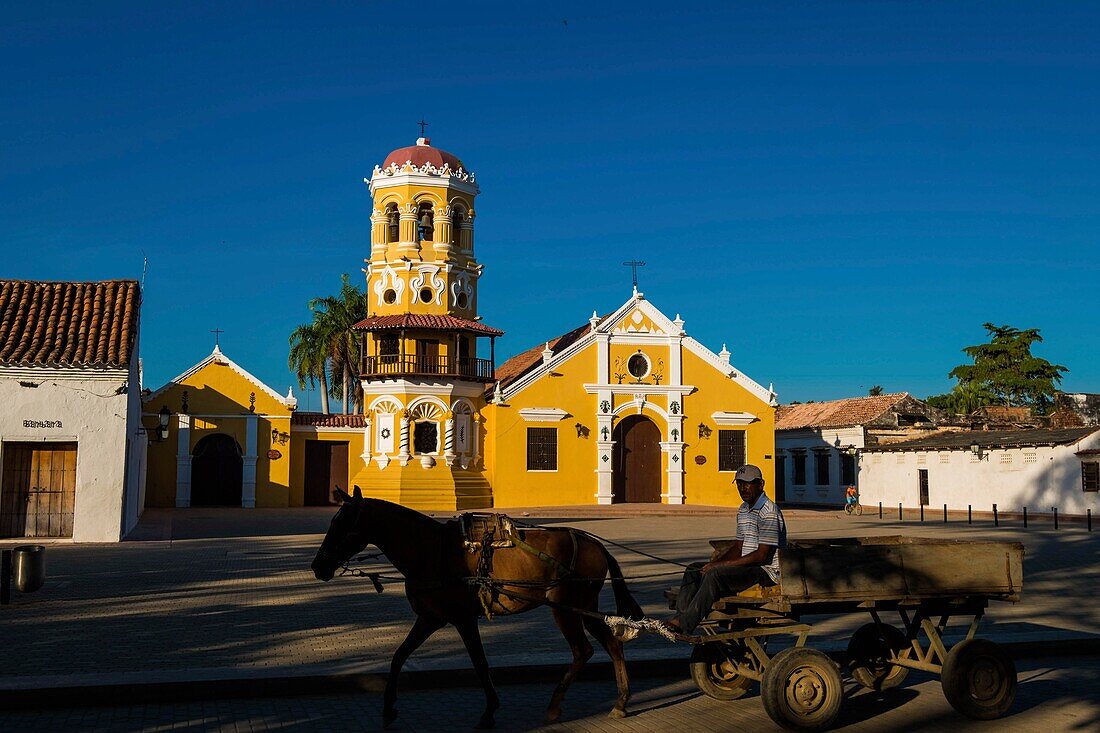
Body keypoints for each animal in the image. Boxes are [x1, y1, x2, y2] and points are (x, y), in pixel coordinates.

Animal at [312, 484, 642, 726]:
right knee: (612, 644)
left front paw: (489, 711)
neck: (432, 550)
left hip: (565, 607)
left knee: (583, 650)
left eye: (342, 525)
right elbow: (399, 655)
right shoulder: (431, 617)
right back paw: (620, 702)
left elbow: (479, 662)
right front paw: (388, 708)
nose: (318, 567)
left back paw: (555, 706)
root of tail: (596, 545)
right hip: (584, 606)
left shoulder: (462, 618)